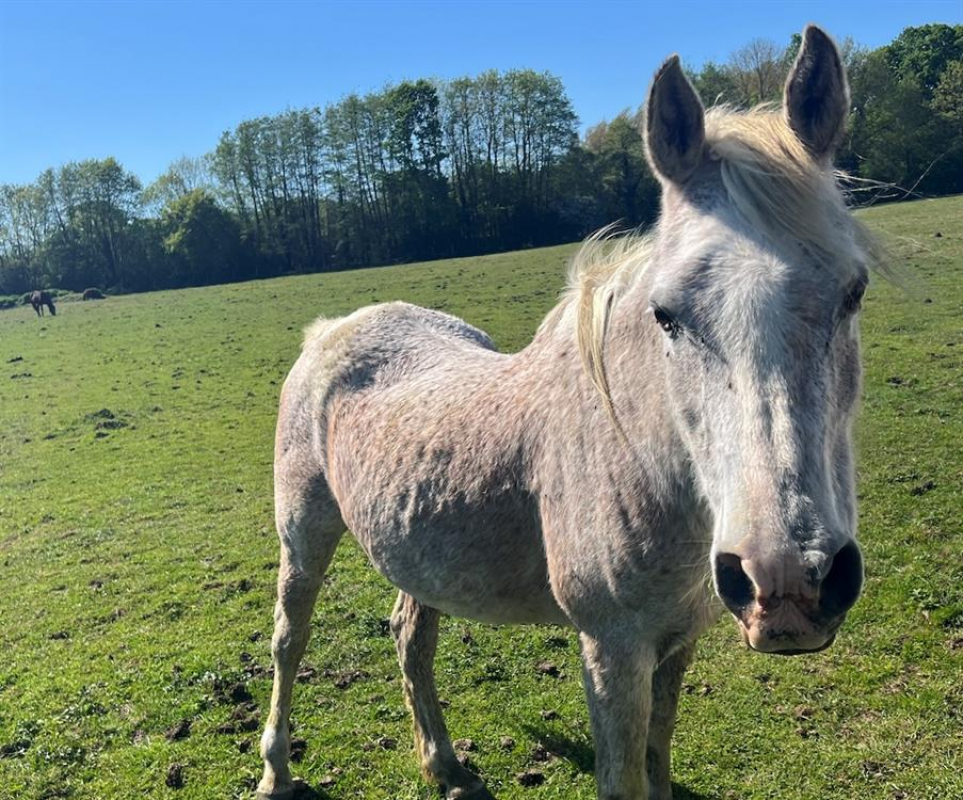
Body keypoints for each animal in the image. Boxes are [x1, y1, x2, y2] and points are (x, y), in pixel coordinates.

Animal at [257, 26, 877, 800]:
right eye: (666, 314)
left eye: (853, 290)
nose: (788, 581)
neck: (642, 464)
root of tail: (331, 329)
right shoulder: (612, 649)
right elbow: (623, 776)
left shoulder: (678, 638)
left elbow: (657, 757)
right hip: (304, 533)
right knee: (289, 642)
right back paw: (275, 770)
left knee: (410, 635)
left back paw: (445, 764)